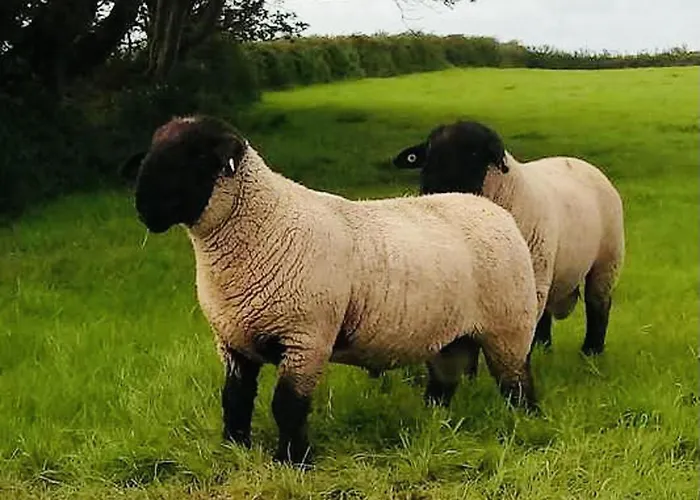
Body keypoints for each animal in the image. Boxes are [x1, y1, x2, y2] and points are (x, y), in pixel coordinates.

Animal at [121, 115, 540, 468]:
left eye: (196, 154)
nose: (143, 207)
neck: (262, 226)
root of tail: (490, 208)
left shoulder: (306, 338)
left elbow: (287, 405)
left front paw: (293, 460)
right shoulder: (233, 340)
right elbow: (235, 400)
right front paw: (234, 448)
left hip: (509, 327)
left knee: (517, 383)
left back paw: (527, 423)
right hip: (450, 335)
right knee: (444, 380)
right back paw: (434, 422)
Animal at [393, 120, 625, 357]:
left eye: (474, 153)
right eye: (428, 153)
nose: (432, 190)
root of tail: (579, 162)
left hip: (607, 259)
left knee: (598, 303)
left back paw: (591, 350)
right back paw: (544, 346)